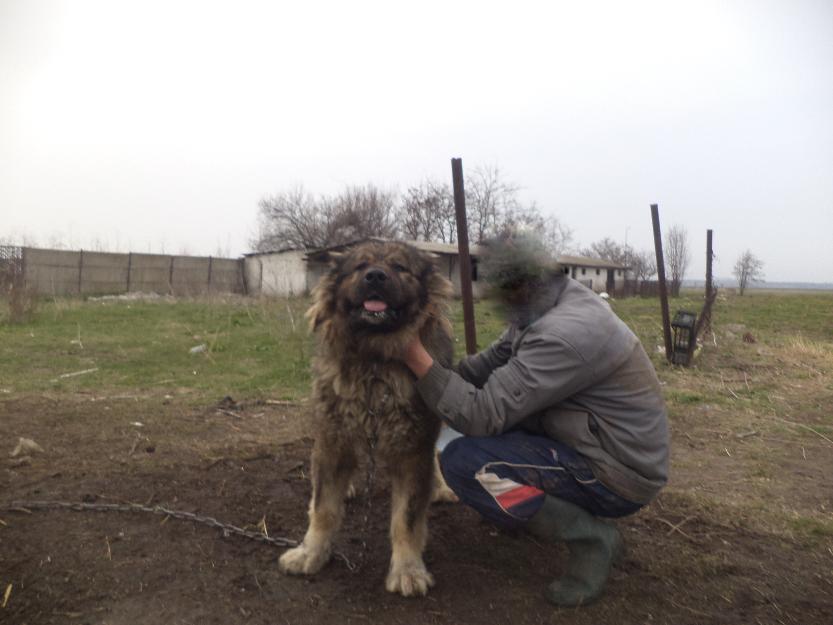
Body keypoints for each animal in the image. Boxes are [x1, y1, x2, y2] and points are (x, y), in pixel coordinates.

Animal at [282, 239, 458, 596]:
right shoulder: (332, 440)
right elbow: (323, 508)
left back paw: (440, 488)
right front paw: (311, 553)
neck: (375, 364)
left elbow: (406, 518)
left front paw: (407, 570)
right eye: (360, 266)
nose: (376, 276)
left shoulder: (412, 449)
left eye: (400, 267)